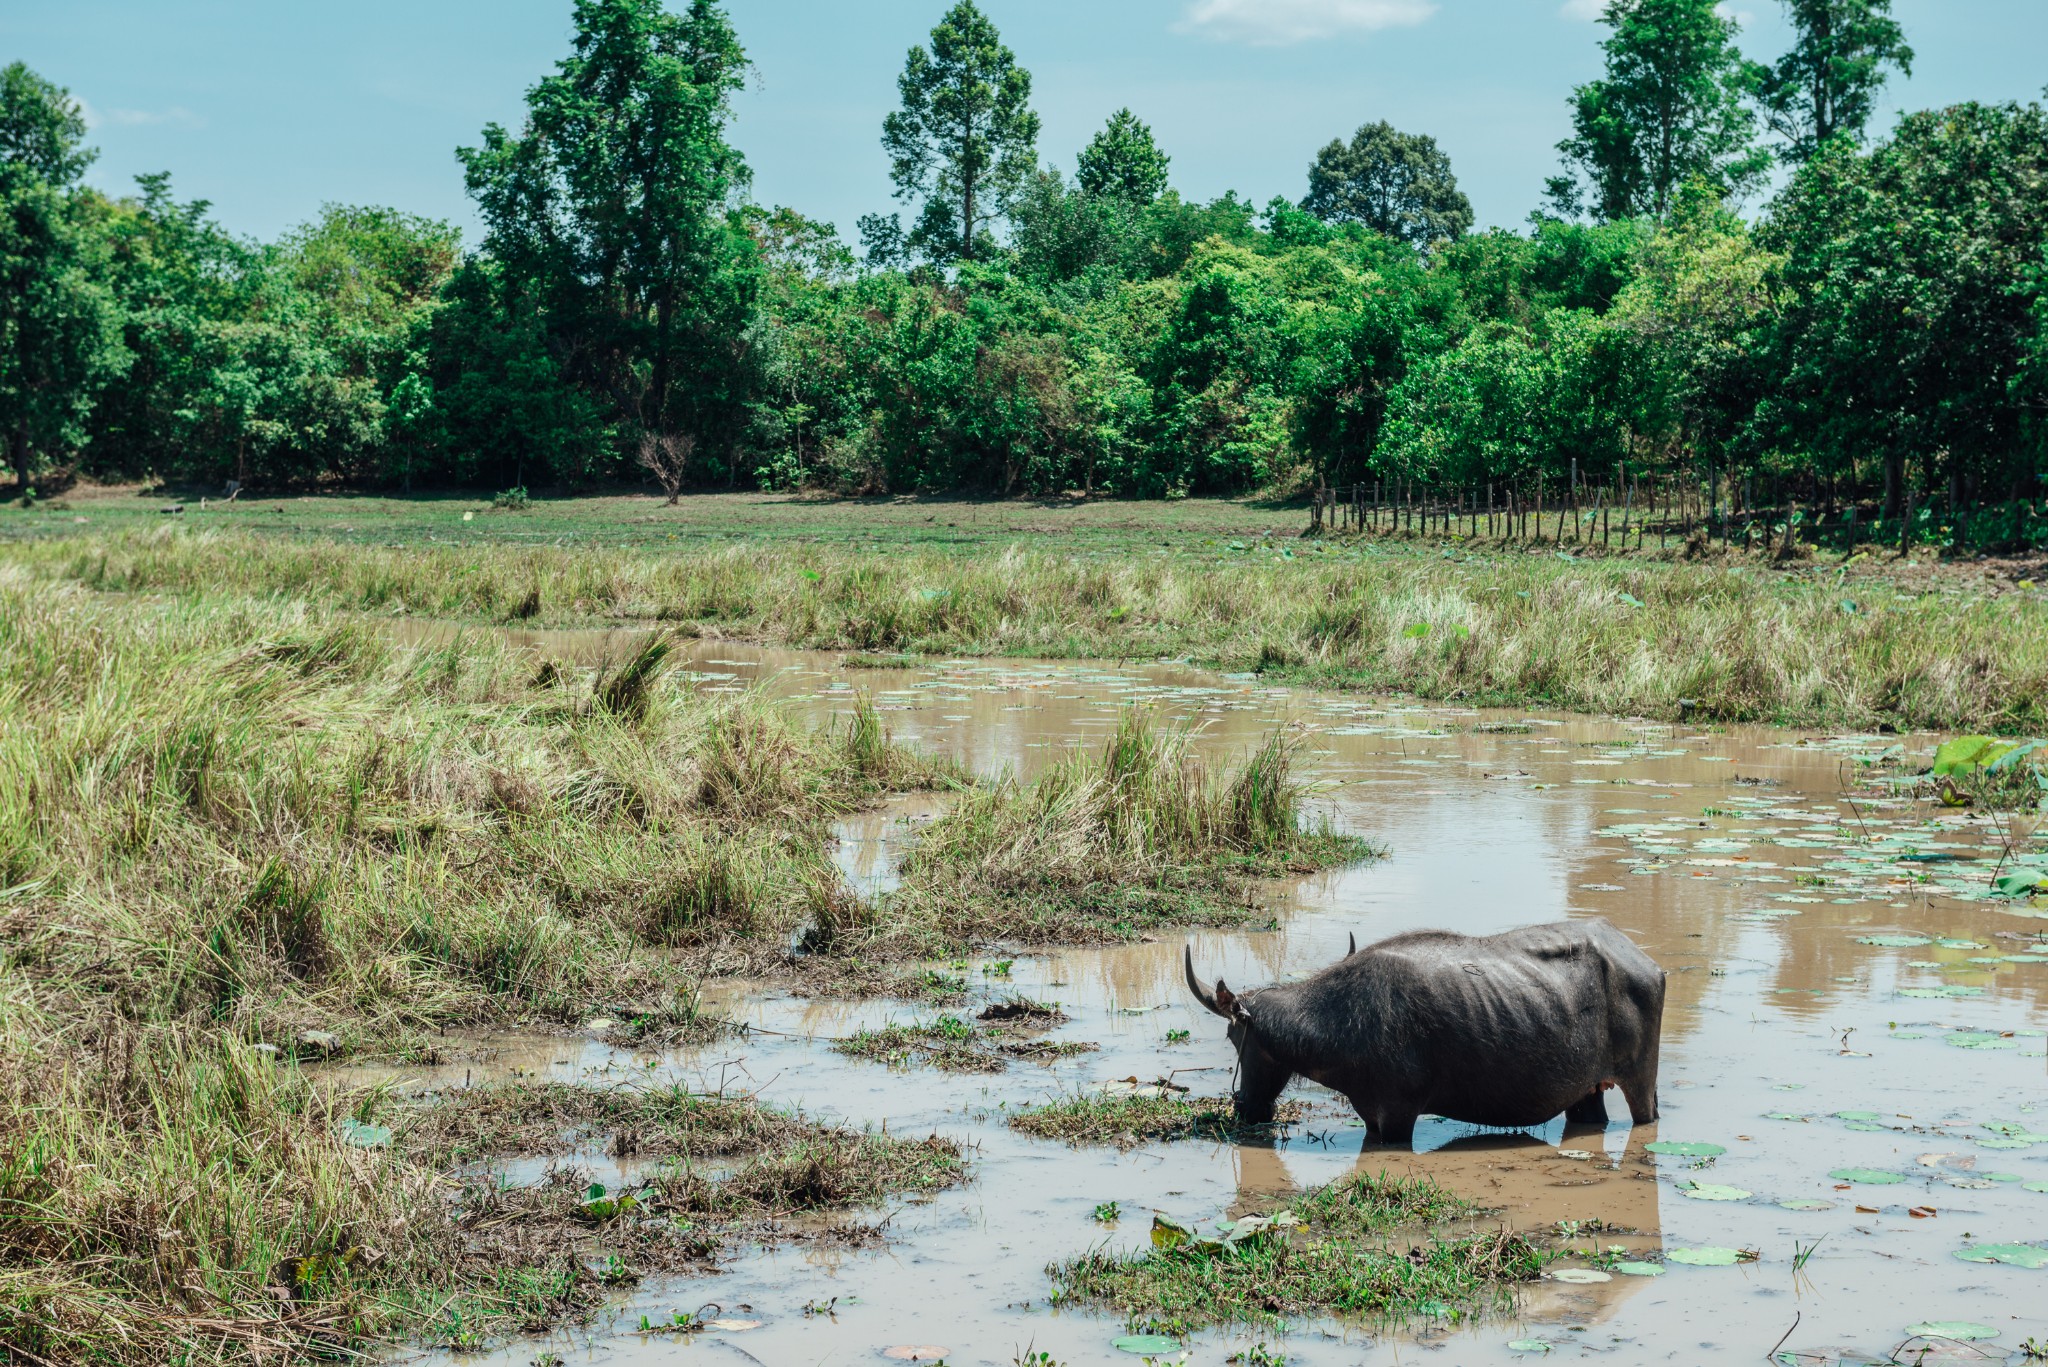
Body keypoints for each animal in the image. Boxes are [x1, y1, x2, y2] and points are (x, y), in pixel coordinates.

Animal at [1187, 918, 1662, 1147]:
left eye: (1235, 1038)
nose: (1246, 1106)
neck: (1340, 1020)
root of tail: (1648, 965)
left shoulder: (1399, 1116)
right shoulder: (1372, 1117)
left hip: (1641, 1086)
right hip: (1585, 1093)